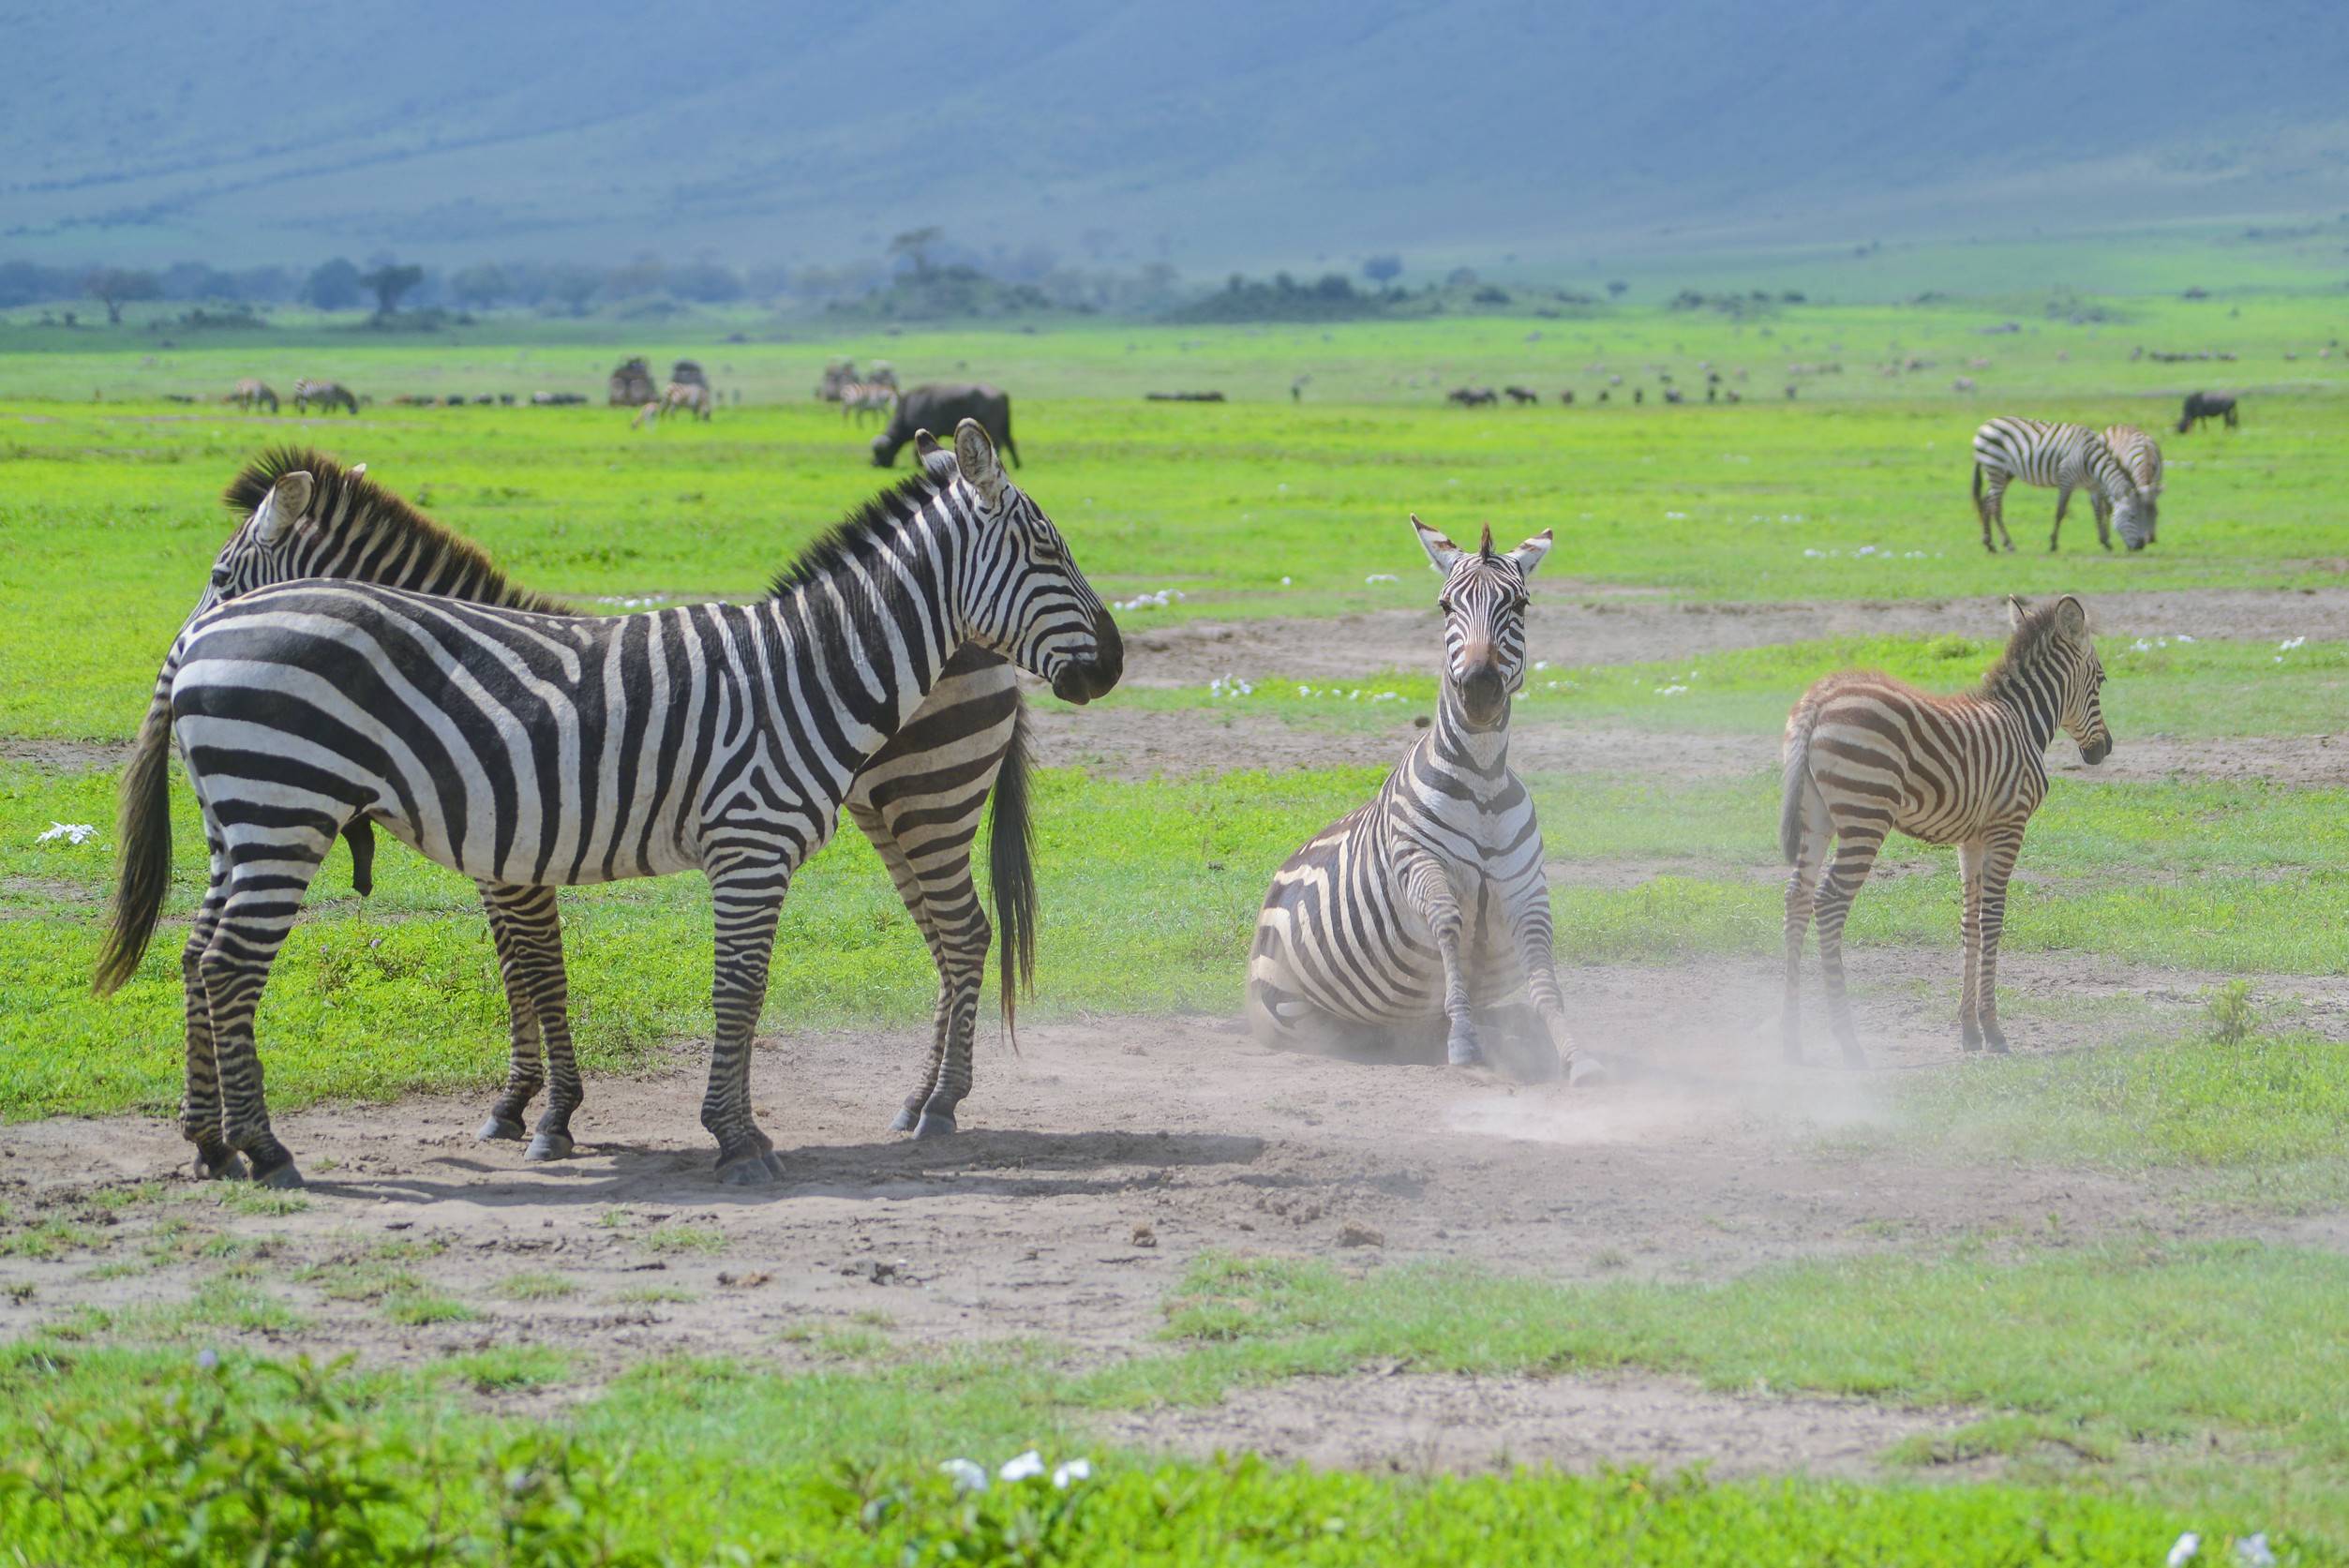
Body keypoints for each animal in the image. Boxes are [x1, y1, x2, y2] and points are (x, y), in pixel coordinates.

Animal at [94, 421, 1121, 1188]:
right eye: (1049, 550)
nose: (1111, 663)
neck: (811, 665)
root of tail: (207, 644)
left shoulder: (547, 854)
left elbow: (568, 976)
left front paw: (559, 1117)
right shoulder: (743, 844)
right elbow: (719, 987)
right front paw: (729, 1138)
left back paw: (213, 1144)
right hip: (278, 809)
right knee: (223, 963)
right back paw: (260, 1149)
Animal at [1246, 516, 1586, 1084]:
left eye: (1519, 605)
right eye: (1446, 606)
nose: (1479, 689)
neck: (1483, 784)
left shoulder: (1526, 889)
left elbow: (1543, 977)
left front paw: (1574, 1055)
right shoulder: (1418, 864)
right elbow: (1448, 924)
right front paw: (1465, 1043)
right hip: (1298, 1011)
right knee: (1366, 1037)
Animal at [1779, 595, 2110, 1065]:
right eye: (2100, 680)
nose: (2104, 750)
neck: (2021, 720)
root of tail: (1820, 699)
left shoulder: (1971, 837)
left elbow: (1969, 922)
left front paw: (1969, 1031)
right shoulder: (2008, 826)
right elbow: (1993, 920)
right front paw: (1994, 1032)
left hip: (1817, 816)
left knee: (1797, 899)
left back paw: (1791, 1041)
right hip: (1867, 814)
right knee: (1829, 903)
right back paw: (1849, 1044)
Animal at [1971, 418, 2152, 554]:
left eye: (2144, 516)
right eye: (2132, 516)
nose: (2140, 546)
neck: (2092, 461)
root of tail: (1985, 425)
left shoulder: (2093, 487)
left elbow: (2098, 512)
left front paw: (2105, 541)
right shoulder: (2066, 480)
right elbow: (2061, 511)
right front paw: (2053, 543)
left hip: (2004, 473)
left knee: (1987, 501)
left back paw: (1989, 544)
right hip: (1995, 467)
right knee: (1995, 506)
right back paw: (2008, 544)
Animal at [2094, 425, 2164, 550]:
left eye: (2156, 514)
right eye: (2140, 516)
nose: (2150, 540)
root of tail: (2116, 426)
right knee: (2100, 507)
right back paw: (2104, 539)